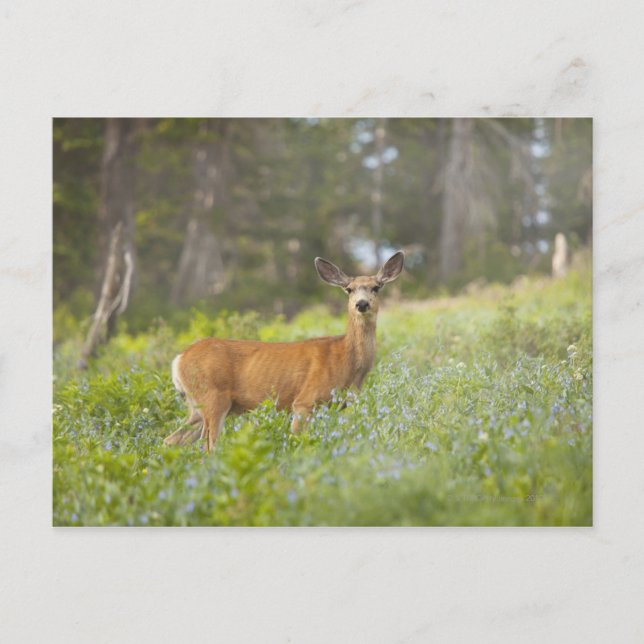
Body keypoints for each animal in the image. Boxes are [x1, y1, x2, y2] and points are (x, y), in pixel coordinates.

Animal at [163, 251, 404, 451]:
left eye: (376, 287)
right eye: (349, 289)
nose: (361, 304)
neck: (346, 360)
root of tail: (178, 360)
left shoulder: (338, 406)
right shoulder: (304, 401)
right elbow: (300, 442)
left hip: (196, 407)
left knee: (171, 440)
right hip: (213, 397)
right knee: (209, 448)